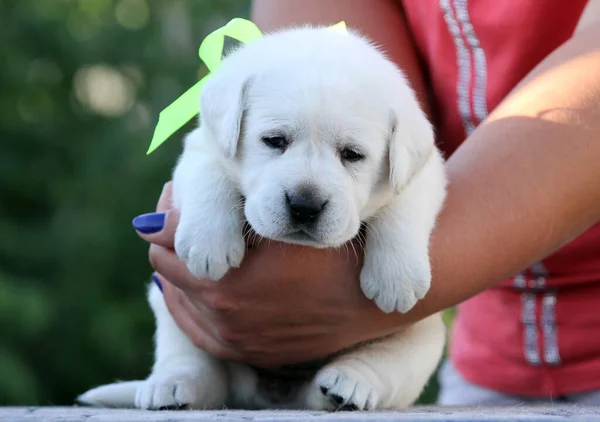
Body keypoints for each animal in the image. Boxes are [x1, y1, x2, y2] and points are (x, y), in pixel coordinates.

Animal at [78, 24, 446, 410]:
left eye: (352, 154)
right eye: (274, 140)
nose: (304, 205)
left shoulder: (425, 171)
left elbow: (404, 205)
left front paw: (397, 276)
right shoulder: (203, 147)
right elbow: (210, 176)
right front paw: (208, 243)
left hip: (421, 340)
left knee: (378, 367)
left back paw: (348, 384)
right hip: (169, 306)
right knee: (196, 367)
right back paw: (174, 386)